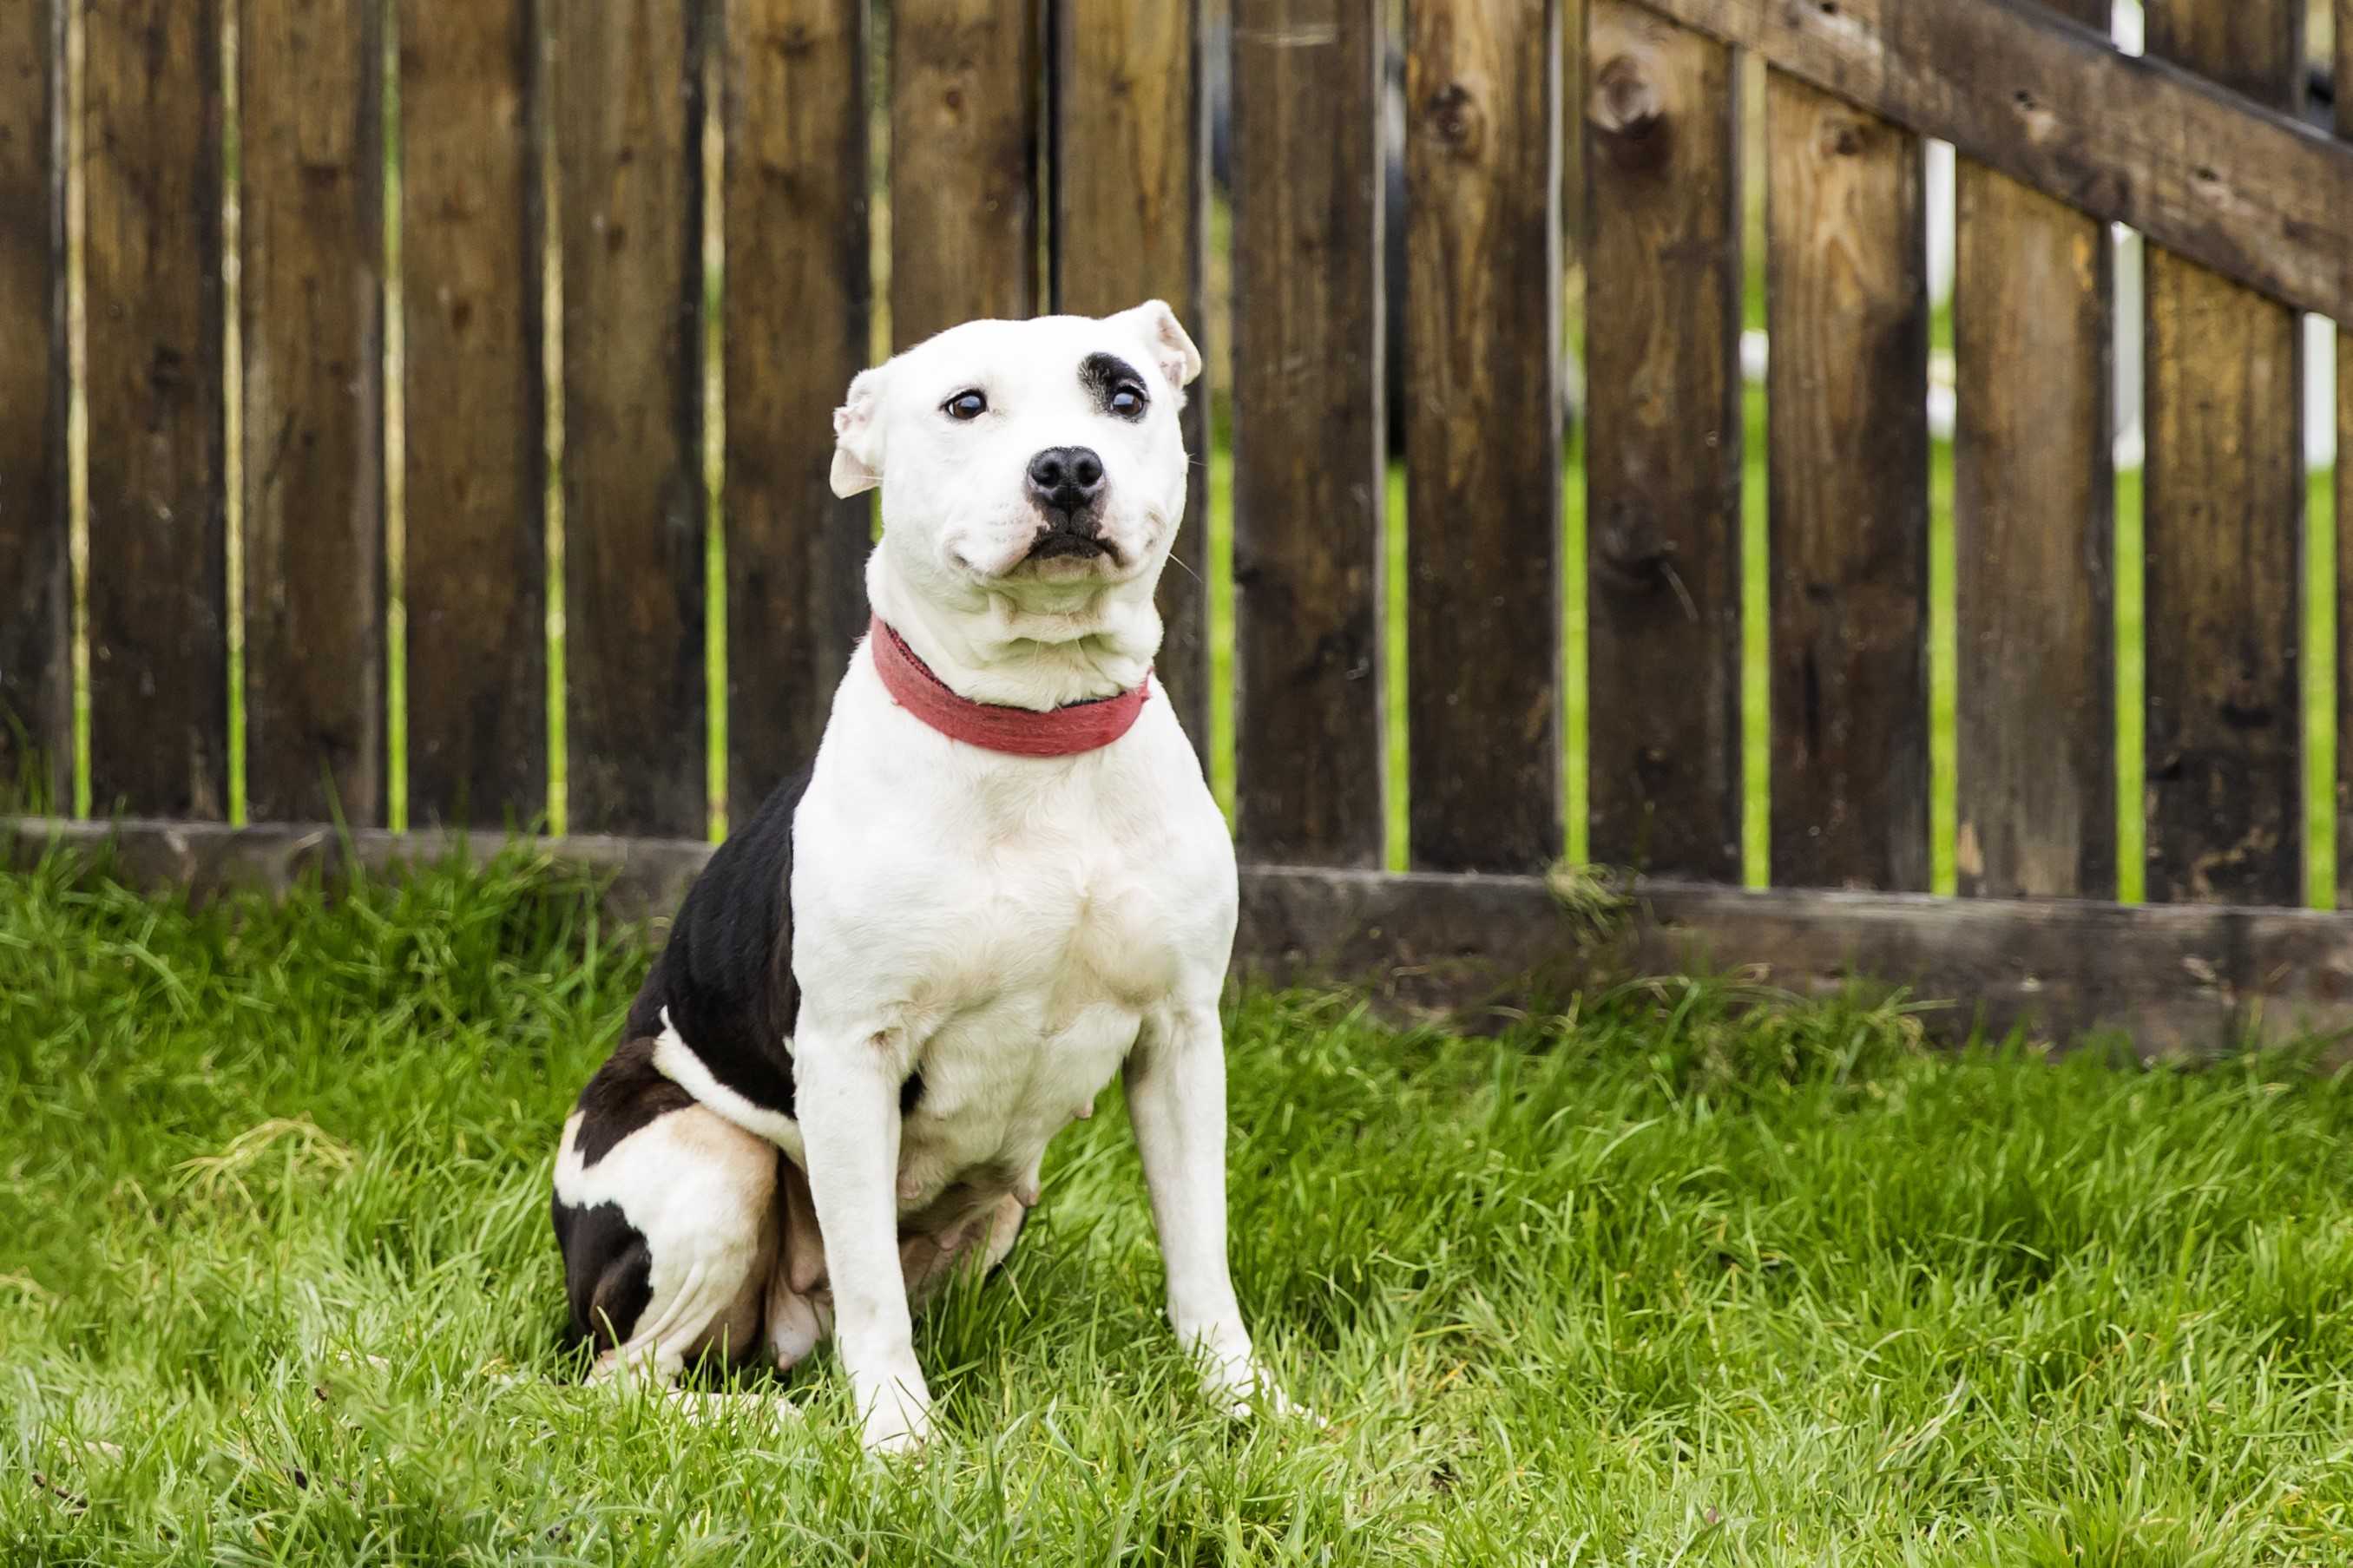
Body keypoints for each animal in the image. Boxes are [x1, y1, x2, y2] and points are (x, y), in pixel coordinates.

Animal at [548, 300, 1298, 1457]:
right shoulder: (850, 1058)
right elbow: (870, 1291)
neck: (1036, 723)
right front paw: (897, 1441)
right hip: (706, 1157)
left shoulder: (1179, 1039)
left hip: (997, 1209)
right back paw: (770, 1423)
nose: (1067, 467)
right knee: (626, 1379)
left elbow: (1198, 1255)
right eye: (965, 404)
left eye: (1123, 393)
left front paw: (1245, 1401)